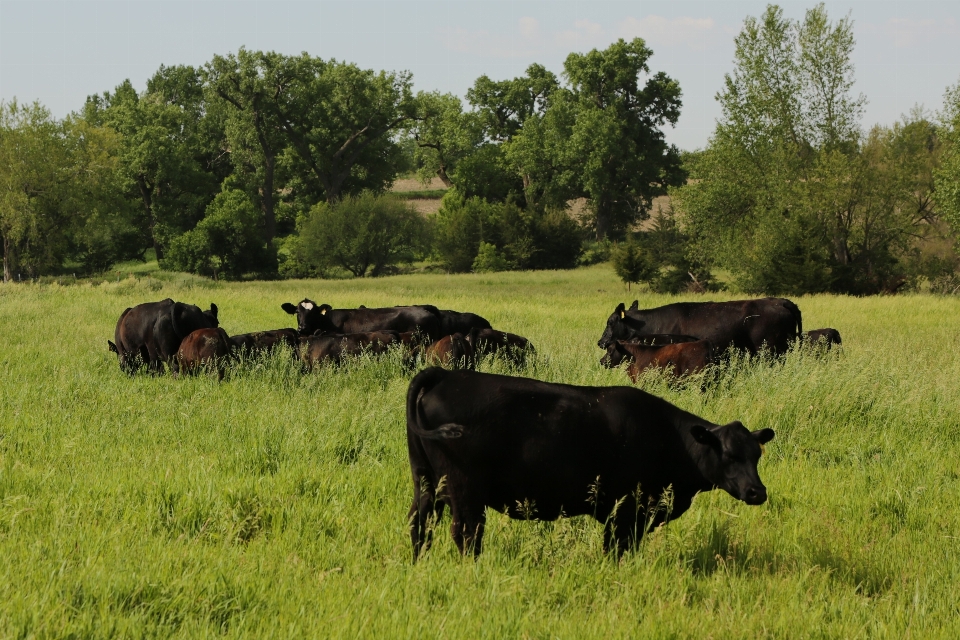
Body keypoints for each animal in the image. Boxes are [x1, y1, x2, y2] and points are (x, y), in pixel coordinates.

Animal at [404, 364, 772, 560]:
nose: (758, 492)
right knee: (466, 533)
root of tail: (445, 374)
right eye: (729, 454)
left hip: (425, 480)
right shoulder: (624, 511)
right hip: (464, 489)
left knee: (419, 524)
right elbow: (617, 550)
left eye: (756, 454)